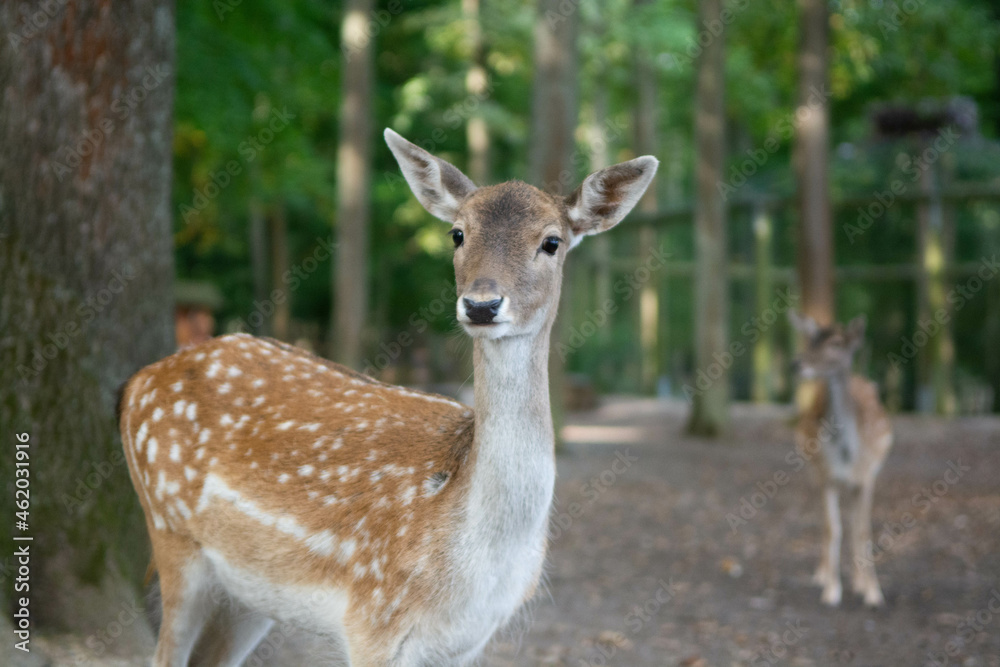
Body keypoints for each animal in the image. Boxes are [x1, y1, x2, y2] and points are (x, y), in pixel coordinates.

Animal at [119, 128, 656, 664]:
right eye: (457, 234)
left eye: (552, 241)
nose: (481, 305)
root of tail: (136, 383)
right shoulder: (372, 618)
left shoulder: (469, 641)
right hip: (171, 534)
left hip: (248, 593)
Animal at [792, 314, 896, 612]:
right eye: (811, 340)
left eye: (837, 343)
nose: (797, 363)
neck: (848, 454)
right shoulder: (826, 475)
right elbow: (832, 528)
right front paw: (831, 590)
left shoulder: (868, 477)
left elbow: (862, 531)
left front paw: (873, 593)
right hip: (814, 471)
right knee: (829, 522)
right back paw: (822, 574)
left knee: (854, 523)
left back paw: (859, 581)